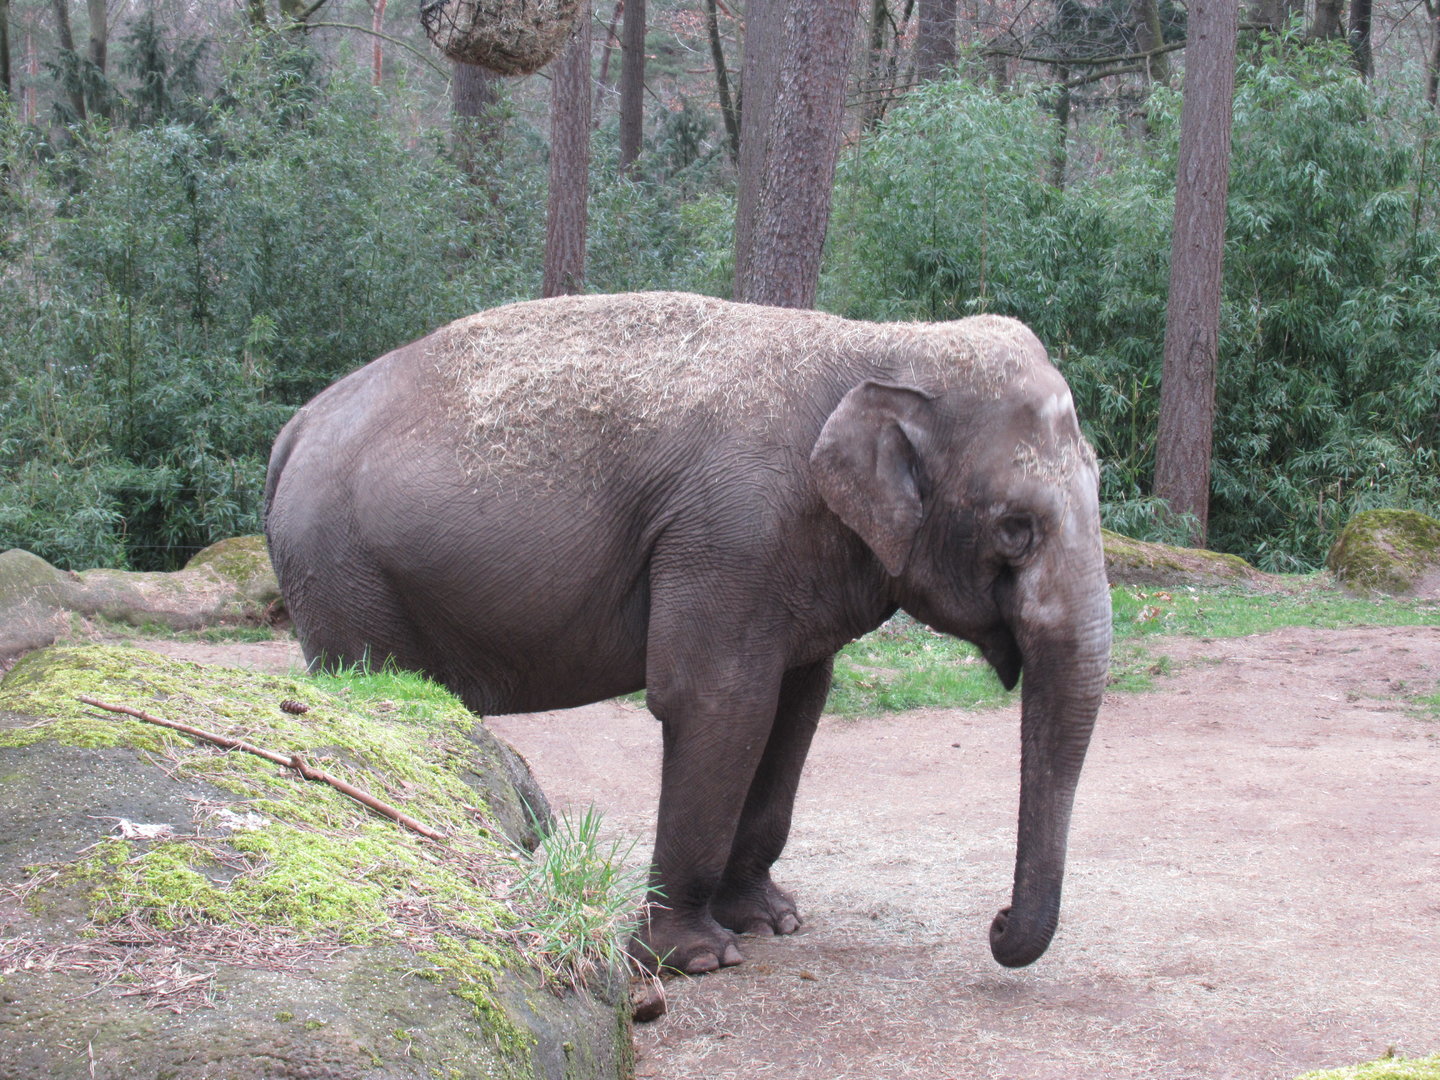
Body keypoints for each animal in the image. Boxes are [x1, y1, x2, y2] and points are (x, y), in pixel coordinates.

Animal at [264, 291, 1111, 977]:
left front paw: (773, 921)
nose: (996, 924)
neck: (883, 344)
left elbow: (796, 704)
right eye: (1015, 529)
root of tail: (294, 429)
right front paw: (698, 959)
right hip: (342, 570)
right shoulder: (727, 534)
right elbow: (718, 704)